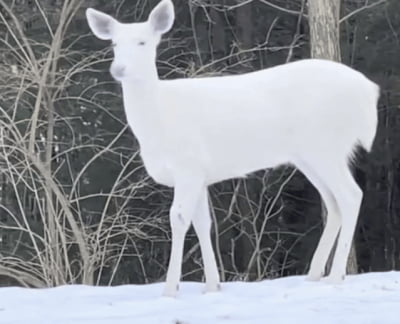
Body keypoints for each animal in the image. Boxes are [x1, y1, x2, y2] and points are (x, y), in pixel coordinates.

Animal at [86, 0, 380, 296]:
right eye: (114, 44)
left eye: (143, 42)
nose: (119, 69)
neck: (159, 121)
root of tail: (369, 91)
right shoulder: (200, 173)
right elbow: (203, 223)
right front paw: (212, 285)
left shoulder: (188, 165)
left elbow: (178, 218)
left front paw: (170, 290)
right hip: (310, 156)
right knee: (333, 203)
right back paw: (314, 275)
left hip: (325, 145)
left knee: (350, 195)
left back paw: (336, 276)